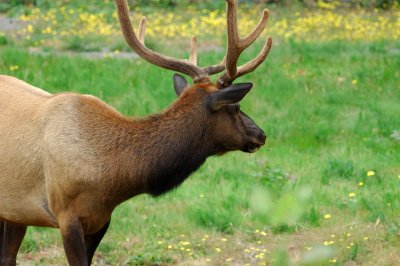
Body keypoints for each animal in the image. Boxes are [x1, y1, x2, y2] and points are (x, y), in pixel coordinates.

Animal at [0, 0, 272, 264]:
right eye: (236, 107)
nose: (261, 134)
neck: (114, 176)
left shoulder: (102, 219)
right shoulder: (66, 214)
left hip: (15, 212)